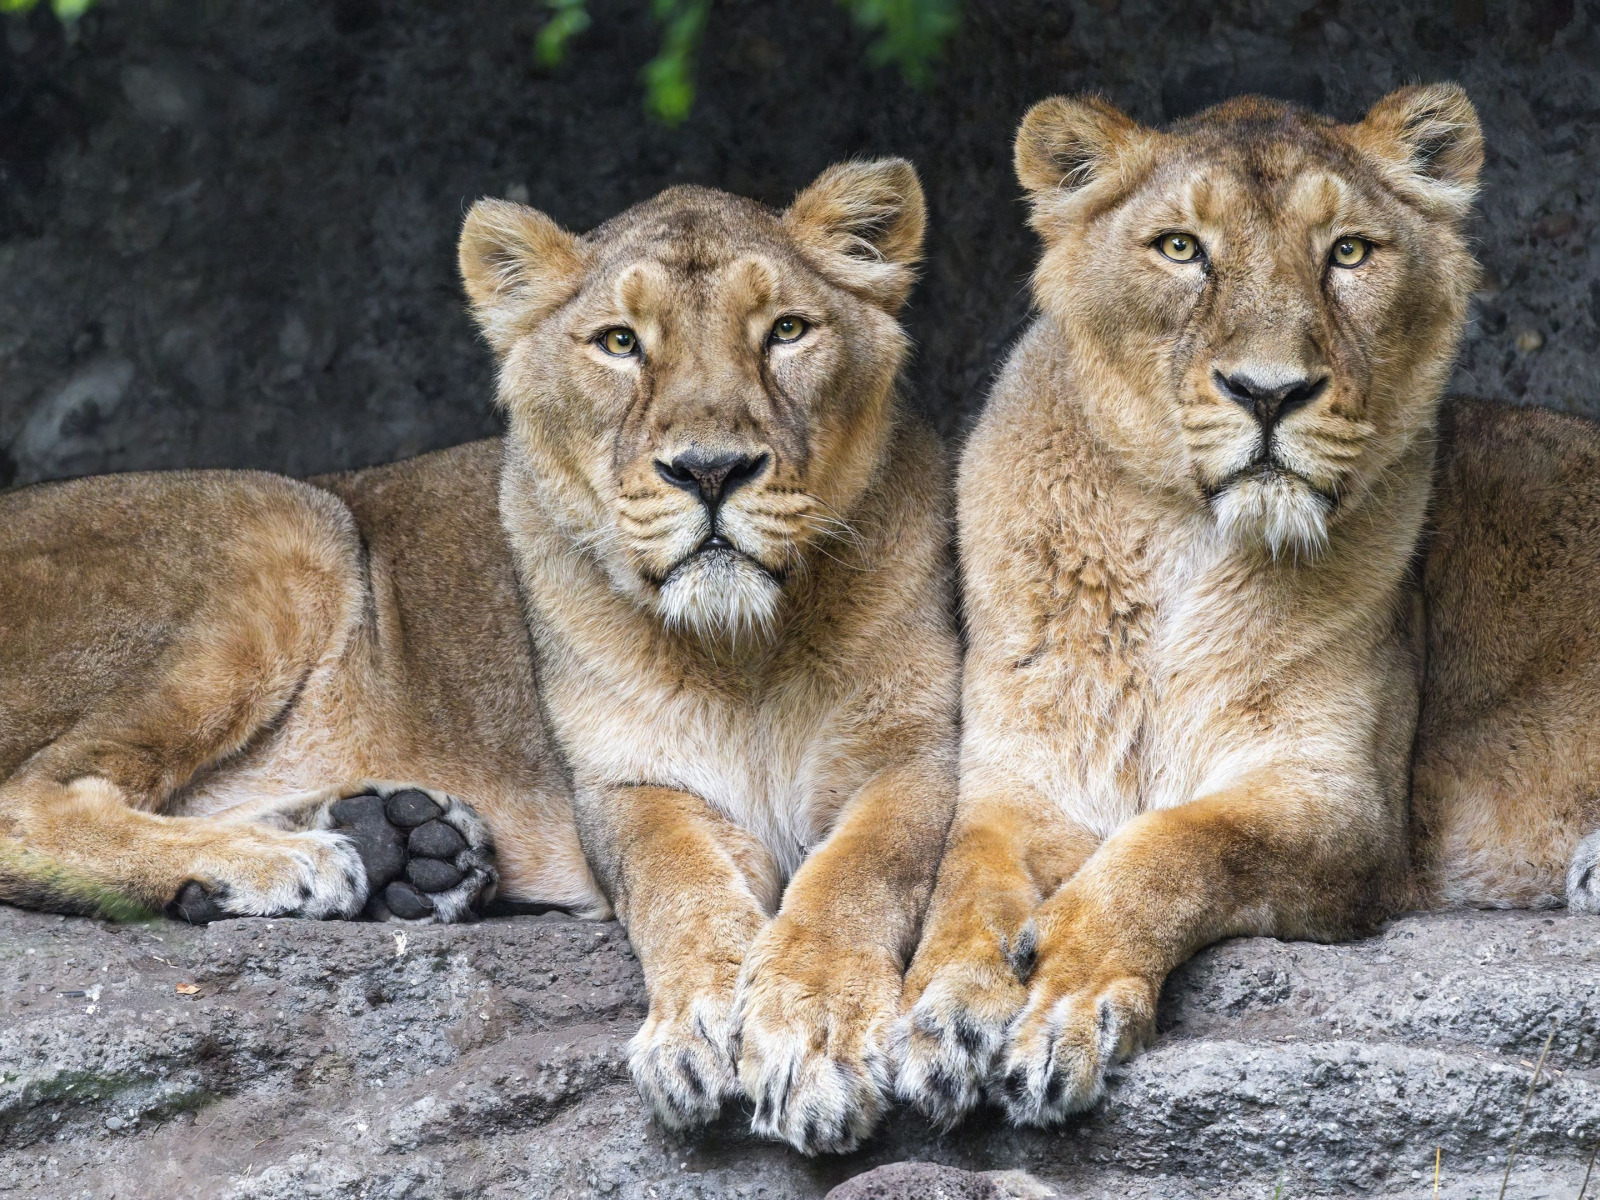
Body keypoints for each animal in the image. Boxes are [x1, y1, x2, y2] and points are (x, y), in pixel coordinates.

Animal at [0, 160, 959, 1156]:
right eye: (619, 343)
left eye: (787, 331)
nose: (710, 470)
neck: (747, 651)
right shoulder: (629, 786)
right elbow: (680, 890)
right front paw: (705, 1024)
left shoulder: (921, 755)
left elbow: (858, 877)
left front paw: (810, 1032)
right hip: (293, 517)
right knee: (34, 799)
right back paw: (301, 861)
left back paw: (400, 845)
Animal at [893, 84, 1600, 1130]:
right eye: (1181, 248)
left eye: (1348, 252)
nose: (1270, 394)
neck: (1176, 549)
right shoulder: (1019, 783)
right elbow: (963, 882)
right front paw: (944, 1010)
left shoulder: (1343, 802)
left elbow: (1183, 844)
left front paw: (1065, 994)